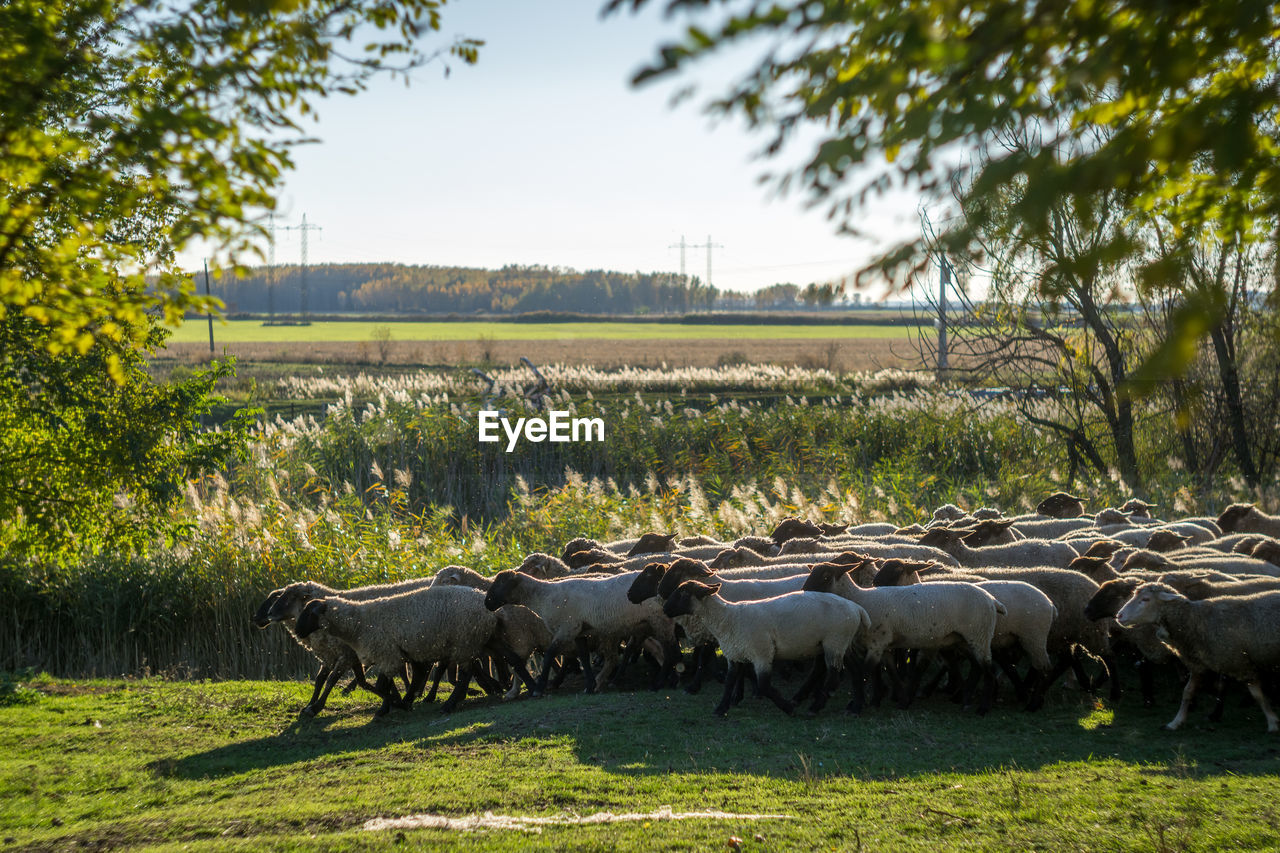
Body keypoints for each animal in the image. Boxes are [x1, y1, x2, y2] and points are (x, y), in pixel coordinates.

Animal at [294, 581, 504, 712]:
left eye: (310, 613)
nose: (297, 632)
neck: (358, 622)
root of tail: (489, 609)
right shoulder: (391, 654)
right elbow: (384, 682)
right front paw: (397, 703)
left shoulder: (387, 653)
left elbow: (383, 683)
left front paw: (391, 706)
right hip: (463, 644)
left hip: (464, 641)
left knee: (466, 673)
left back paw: (449, 705)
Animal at [660, 578, 870, 712]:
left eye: (684, 592)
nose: (664, 609)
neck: (728, 618)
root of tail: (857, 609)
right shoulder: (734, 654)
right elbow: (729, 682)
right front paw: (721, 709)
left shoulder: (762, 653)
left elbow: (764, 686)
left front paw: (787, 707)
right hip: (842, 643)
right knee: (857, 670)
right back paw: (856, 706)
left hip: (834, 642)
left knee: (834, 677)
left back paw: (815, 706)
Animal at [803, 558, 1003, 712]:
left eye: (826, 576)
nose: (804, 591)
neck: (861, 599)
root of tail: (991, 599)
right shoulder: (883, 646)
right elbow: (891, 673)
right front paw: (899, 700)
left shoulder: (877, 643)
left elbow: (864, 673)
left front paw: (856, 706)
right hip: (963, 639)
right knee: (978, 667)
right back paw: (966, 701)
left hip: (979, 635)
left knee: (988, 670)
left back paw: (983, 707)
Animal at [1116, 584, 1280, 732]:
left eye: (1145, 599)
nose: (1119, 616)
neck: (1194, 621)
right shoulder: (1200, 664)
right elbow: (1187, 692)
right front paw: (1175, 722)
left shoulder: (1239, 663)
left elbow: (1257, 695)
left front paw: (1272, 722)